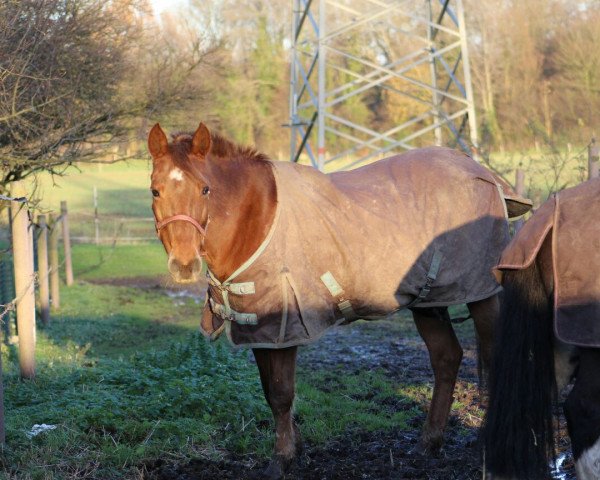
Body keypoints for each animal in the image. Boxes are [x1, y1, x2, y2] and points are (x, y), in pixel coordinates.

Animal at [149, 123, 510, 476]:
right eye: (155, 190)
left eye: (204, 189)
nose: (184, 264)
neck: (257, 219)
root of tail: (480, 171)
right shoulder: (259, 329)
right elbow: (269, 391)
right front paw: (294, 449)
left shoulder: (285, 327)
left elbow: (281, 393)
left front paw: (281, 459)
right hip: (429, 301)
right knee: (446, 357)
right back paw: (428, 443)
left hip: (480, 295)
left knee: (494, 359)